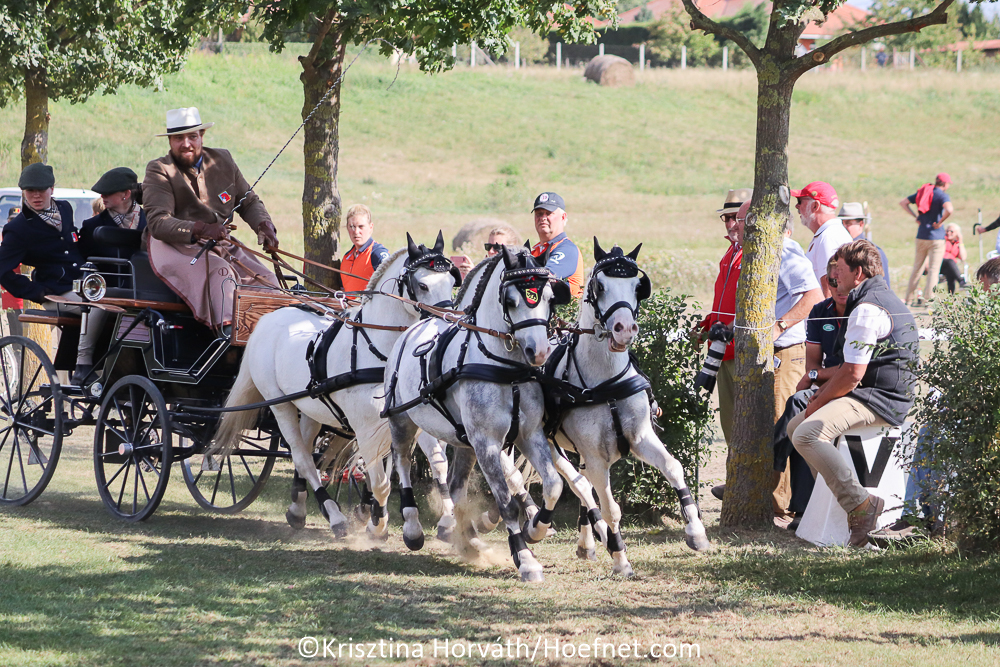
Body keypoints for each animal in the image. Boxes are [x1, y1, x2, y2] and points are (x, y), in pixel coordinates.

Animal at [210, 232, 461, 539]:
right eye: (422, 284)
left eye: (450, 281)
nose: (448, 323)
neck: (381, 352)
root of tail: (268, 319)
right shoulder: (365, 428)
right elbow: (380, 482)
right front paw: (378, 524)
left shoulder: (409, 417)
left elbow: (436, 465)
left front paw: (446, 521)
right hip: (280, 406)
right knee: (301, 456)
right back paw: (335, 516)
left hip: (311, 408)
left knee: (307, 452)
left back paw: (299, 507)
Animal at [382, 246, 571, 582]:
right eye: (511, 301)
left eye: (549, 297)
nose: (539, 352)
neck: (506, 369)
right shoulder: (487, 442)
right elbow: (507, 504)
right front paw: (525, 558)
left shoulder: (529, 434)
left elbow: (553, 485)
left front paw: (536, 528)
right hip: (402, 421)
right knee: (402, 462)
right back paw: (413, 528)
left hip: (464, 443)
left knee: (456, 487)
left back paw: (464, 536)